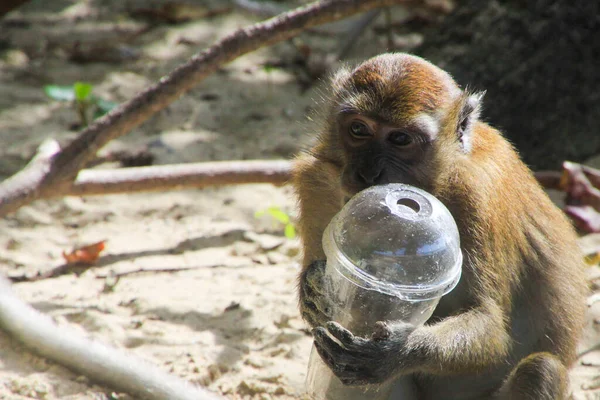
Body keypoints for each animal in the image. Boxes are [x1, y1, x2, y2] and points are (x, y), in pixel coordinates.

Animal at [292, 53, 588, 400]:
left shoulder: (475, 194)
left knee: (541, 370)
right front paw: (314, 289)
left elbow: (490, 324)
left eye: (400, 139)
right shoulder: (317, 181)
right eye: (358, 129)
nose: (367, 174)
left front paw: (396, 351)